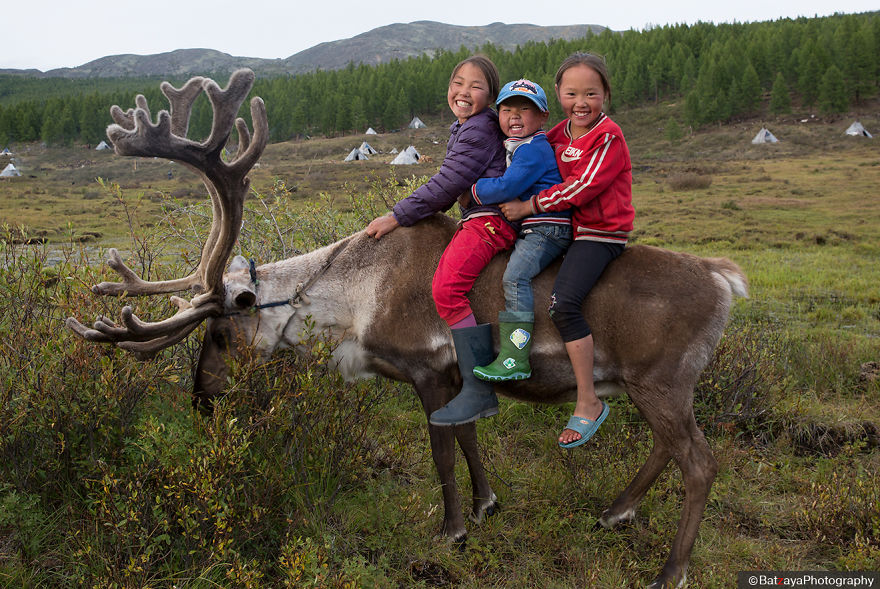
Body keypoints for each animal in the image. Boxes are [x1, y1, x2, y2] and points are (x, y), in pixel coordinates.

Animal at [67, 70, 748, 589]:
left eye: (221, 335)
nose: (201, 400)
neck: (351, 300)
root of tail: (723, 277)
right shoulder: (459, 376)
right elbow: (469, 437)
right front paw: (486, 504)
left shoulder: (426, 366)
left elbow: (443, 450)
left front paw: (452, 529)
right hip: (652, 386)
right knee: (670, 448)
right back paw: (614, 513)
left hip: (660, 382)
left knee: (699, 462)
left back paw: (671, 569)